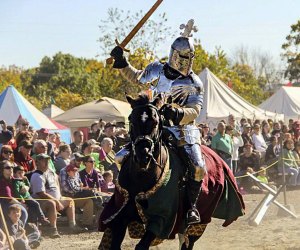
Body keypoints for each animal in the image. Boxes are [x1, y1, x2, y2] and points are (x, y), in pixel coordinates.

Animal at [98, 94, 244, 250]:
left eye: (156, 121)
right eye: (131, 119)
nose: (143, 155)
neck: (140, 177)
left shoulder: (160, 220)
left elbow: (142, 245)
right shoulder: (119, 215)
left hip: (199, 222)